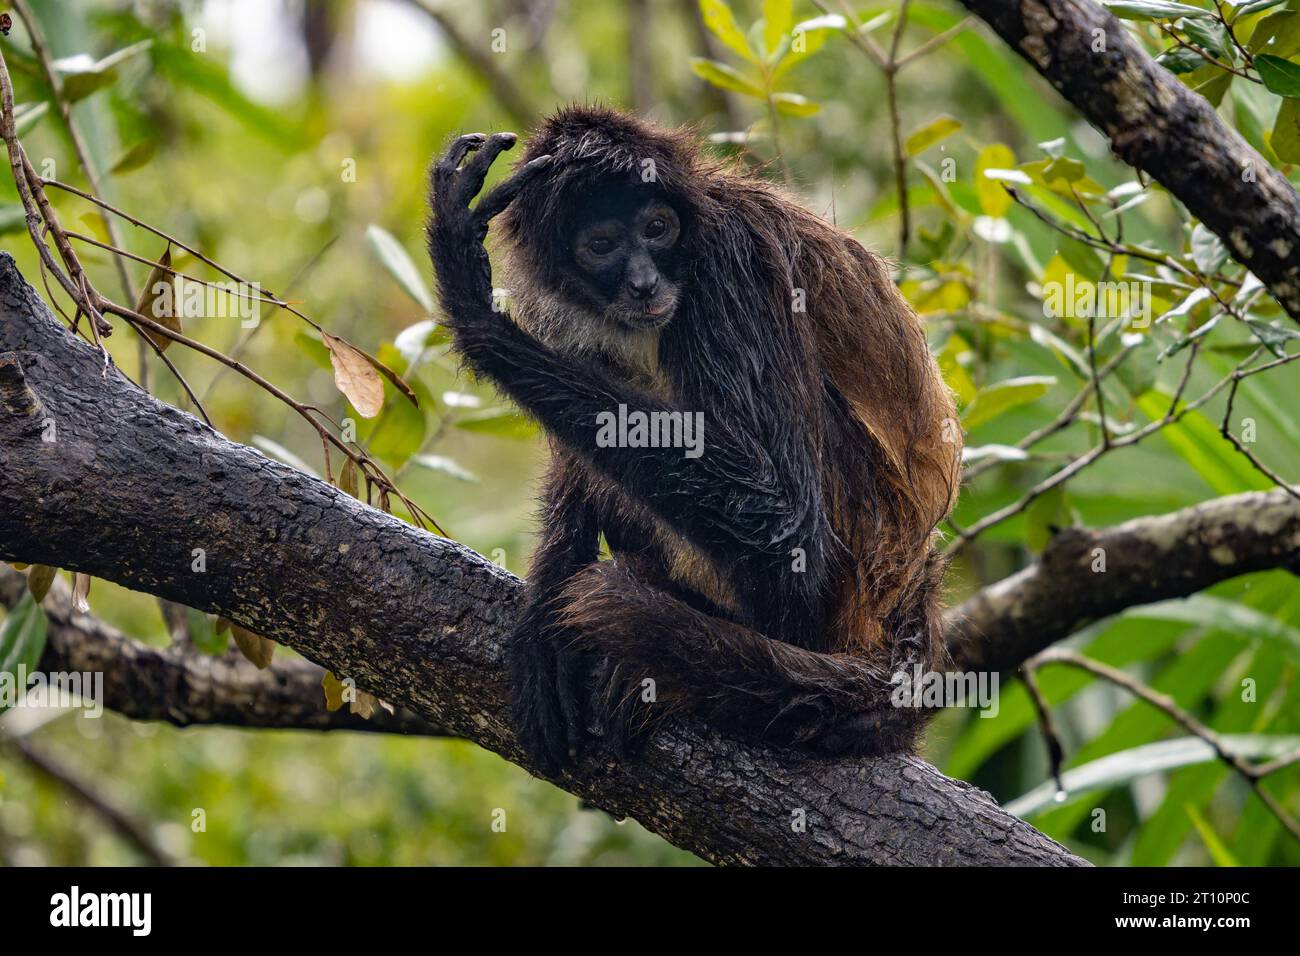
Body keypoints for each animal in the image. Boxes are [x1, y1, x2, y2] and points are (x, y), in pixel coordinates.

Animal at [427, 106, 962, 774]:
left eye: (657, 229)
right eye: (601, 245)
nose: (642, 282)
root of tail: (909, 586)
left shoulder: (730, 263)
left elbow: (787, 524)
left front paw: (468, 293)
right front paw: (543, 615)